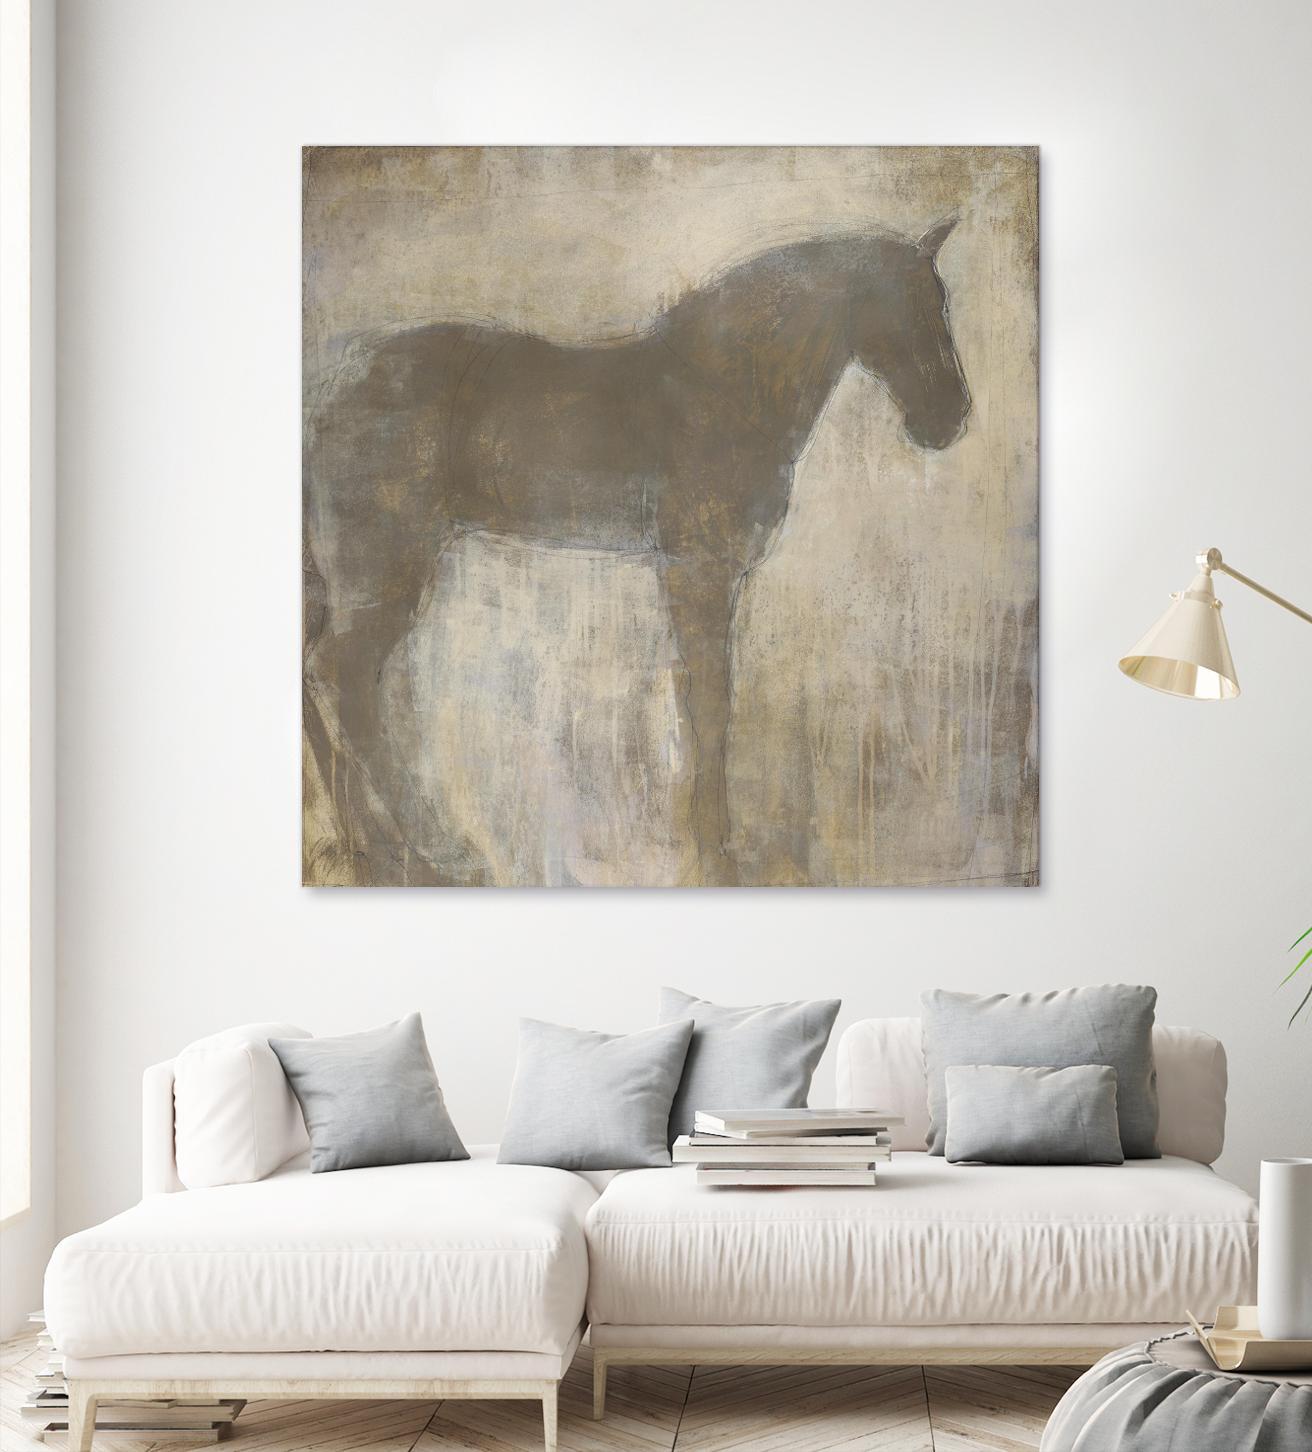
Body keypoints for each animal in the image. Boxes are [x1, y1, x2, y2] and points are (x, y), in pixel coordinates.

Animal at [304, 218, 971, 885]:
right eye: (914, 305)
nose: (949, 418)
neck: (725, 385)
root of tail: (336, 395)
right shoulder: (700, 572)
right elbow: (710, 703)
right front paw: (715, 852)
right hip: (385, 569)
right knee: (344, 676)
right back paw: (431, 847)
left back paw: (364, 845)